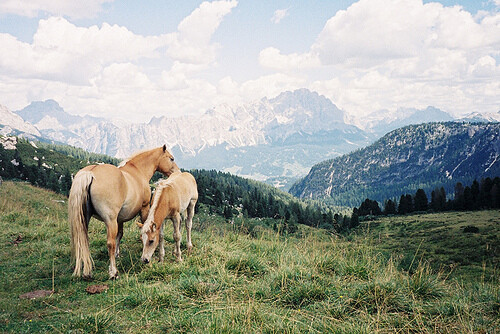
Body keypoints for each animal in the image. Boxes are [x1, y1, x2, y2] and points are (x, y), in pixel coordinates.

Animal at [68, 146, 178, 280]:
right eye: (171, 158)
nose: (177, 172)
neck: (138, 171)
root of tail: (90, 172)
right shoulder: (144, 208)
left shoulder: (119, 218)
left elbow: (120, 235)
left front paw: (117, 254)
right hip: (110, 220)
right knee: (110, 243)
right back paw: (113, 272)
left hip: (85, 219)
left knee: (83, 241)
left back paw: (86, 272)